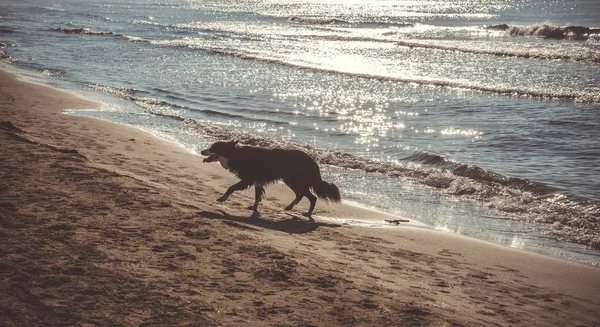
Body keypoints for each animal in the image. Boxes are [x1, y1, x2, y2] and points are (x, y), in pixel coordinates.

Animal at [202, 140, 342, 222]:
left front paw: (222, 198)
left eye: (214, 147)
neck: (235, 154)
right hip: (290, 180)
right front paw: (254, 208)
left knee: (312, 197)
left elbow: (231, 187)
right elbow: (257, 195)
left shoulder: (248, 179)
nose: (202, 151)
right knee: (300, 195)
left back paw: (307, 213)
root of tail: (313, 162)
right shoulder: (257, 181)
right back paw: (290, 207)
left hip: (295, 180)